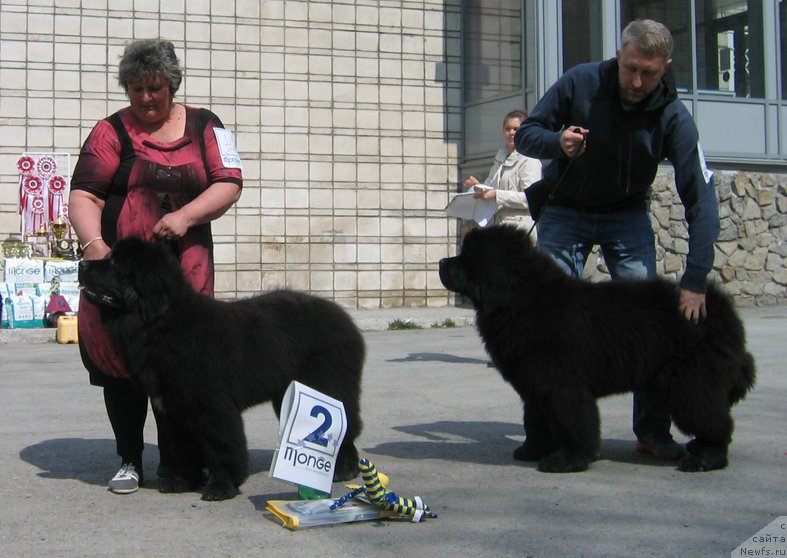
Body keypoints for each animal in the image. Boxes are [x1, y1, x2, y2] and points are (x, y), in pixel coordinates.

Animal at [77, 238, 366, 500]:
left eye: (115, 263)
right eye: (109, 256)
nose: (81, 262)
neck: (163, 324)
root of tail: (345, 318)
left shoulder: (212, 406)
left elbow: (221, 447)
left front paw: (220, 487)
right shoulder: (173, 408)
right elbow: (181, 447)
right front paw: (181, 482)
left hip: (328, 388)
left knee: (345, 429)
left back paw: (345, 470)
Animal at [440, 228, 756, 476]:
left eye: (467, 257)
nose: (442, 261)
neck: (521, 300)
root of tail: (720, 309)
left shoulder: (563, 385)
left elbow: (575, 423)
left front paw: (568, 460)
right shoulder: (536, 385)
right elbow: (536, 419)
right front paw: (532, 450)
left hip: (690, 382)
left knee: (715, 422)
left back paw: (704, 458)